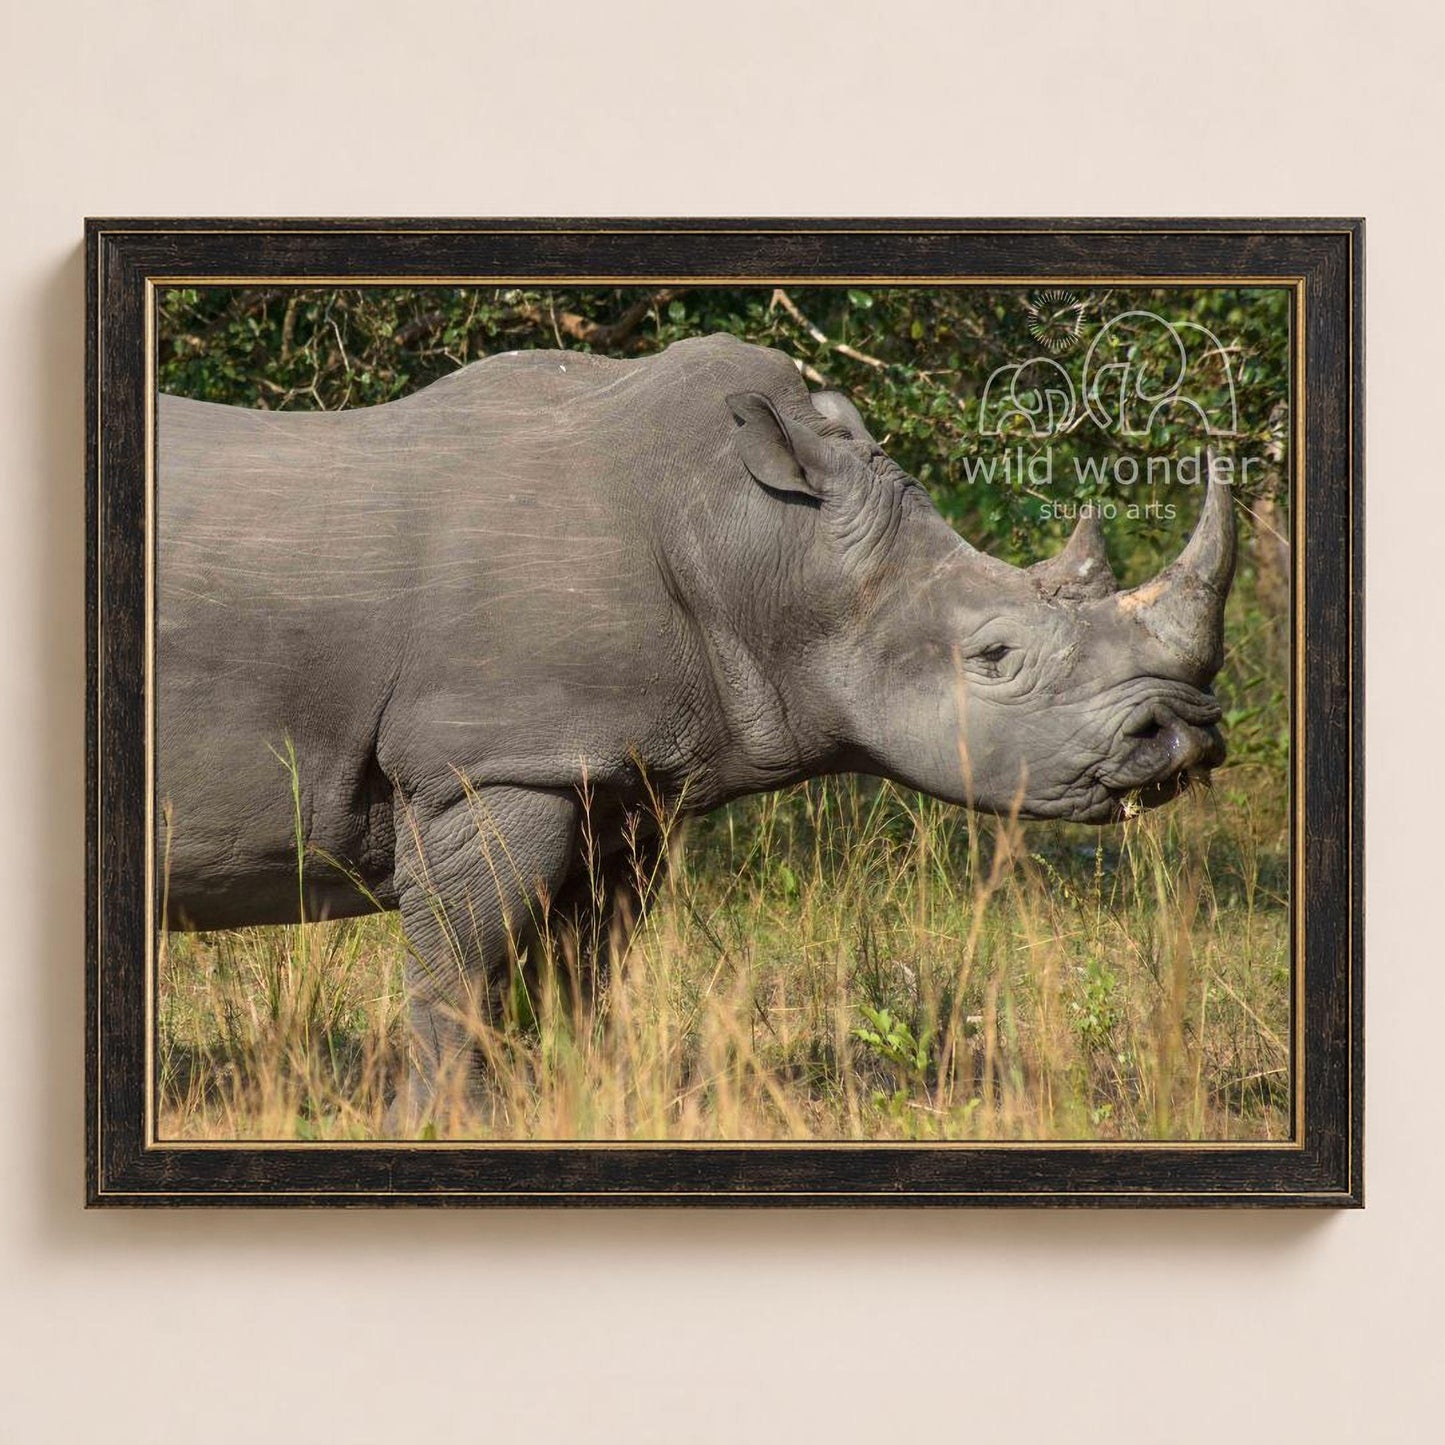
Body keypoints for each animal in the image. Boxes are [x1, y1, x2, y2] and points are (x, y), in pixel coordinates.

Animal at [158, 332, 1234, 1114]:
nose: (1182, 734)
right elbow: (461, 965)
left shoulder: (614, 773)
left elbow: (577, 966)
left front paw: (568, 1102)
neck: (758, 537)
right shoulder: (493, 759)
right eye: (995, 656)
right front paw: (439, 1123)